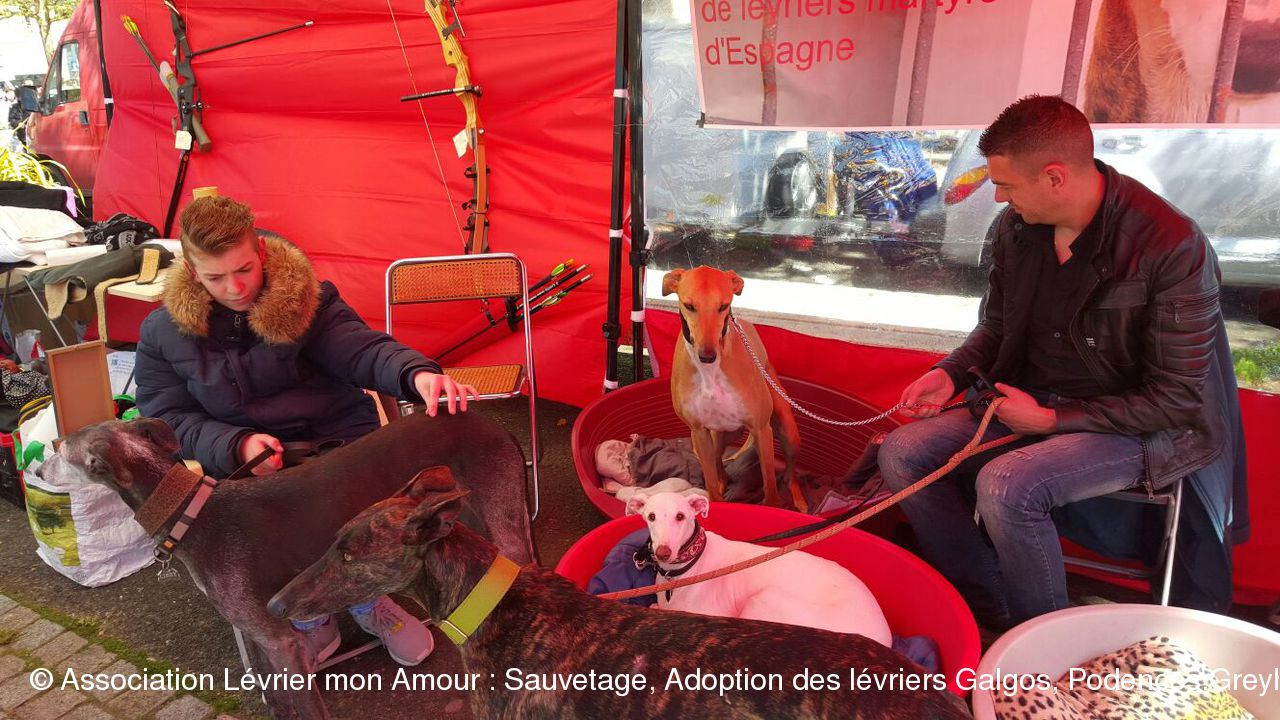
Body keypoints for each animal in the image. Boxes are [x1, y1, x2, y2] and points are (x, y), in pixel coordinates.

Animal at [42, 413, 536, 720]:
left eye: (57, 447)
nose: (39, 471)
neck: (192, 513)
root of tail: (494, 424)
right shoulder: (265, 639)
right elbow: (277, 699)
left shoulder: (282, 642)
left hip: (504, 521)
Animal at [662, 266, 804, 511]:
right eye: (689, 306)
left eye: (723, 306)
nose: (707, 356)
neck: (710, 373)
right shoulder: (699, 431)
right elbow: (710, 480)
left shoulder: (761, 428)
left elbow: (770, 484)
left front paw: (774, 507)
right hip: (716, 437)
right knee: (718, 464)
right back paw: (723, 482)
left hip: (788, 432)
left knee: (789, 474)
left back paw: (797, 498)